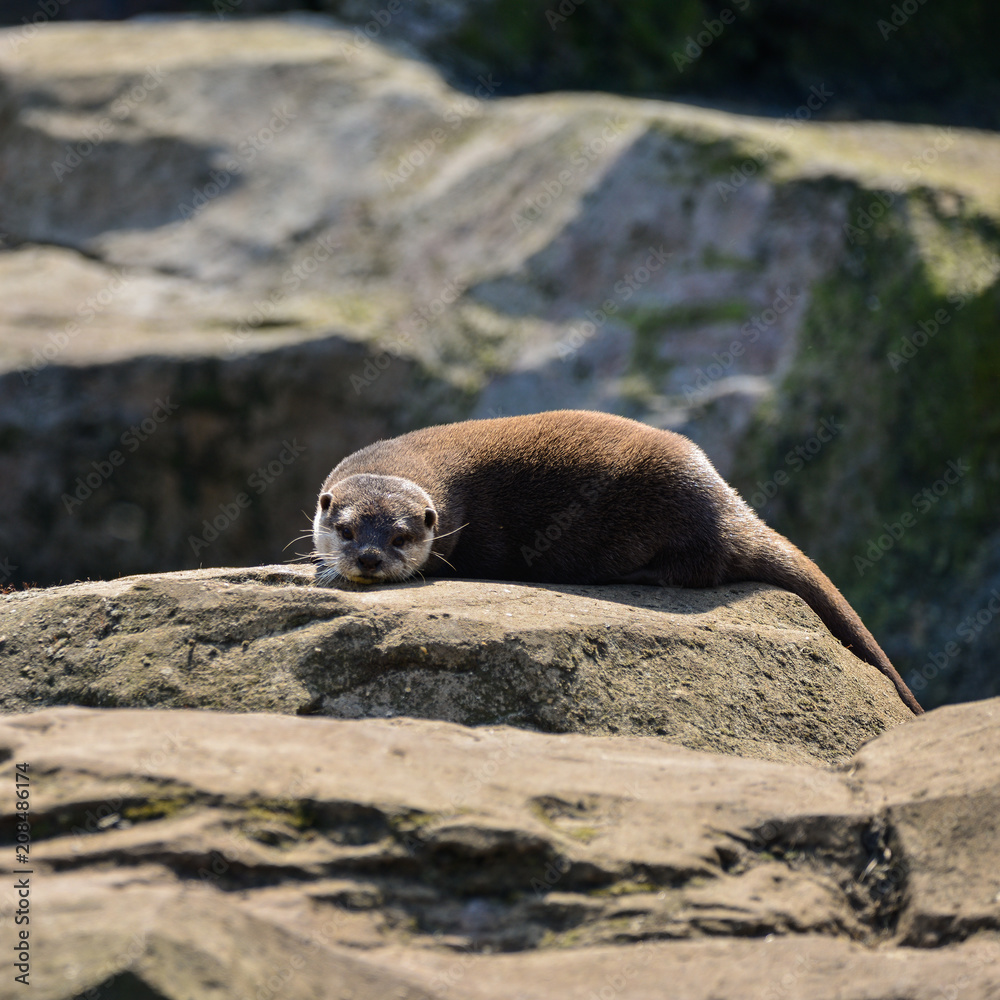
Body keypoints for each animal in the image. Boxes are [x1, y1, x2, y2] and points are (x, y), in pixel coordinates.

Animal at [312, 410, 923, 715]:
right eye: (345, 530)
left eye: (400, 536)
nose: (368, 558)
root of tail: (726, 500)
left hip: (678, 510)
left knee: (701, 568)